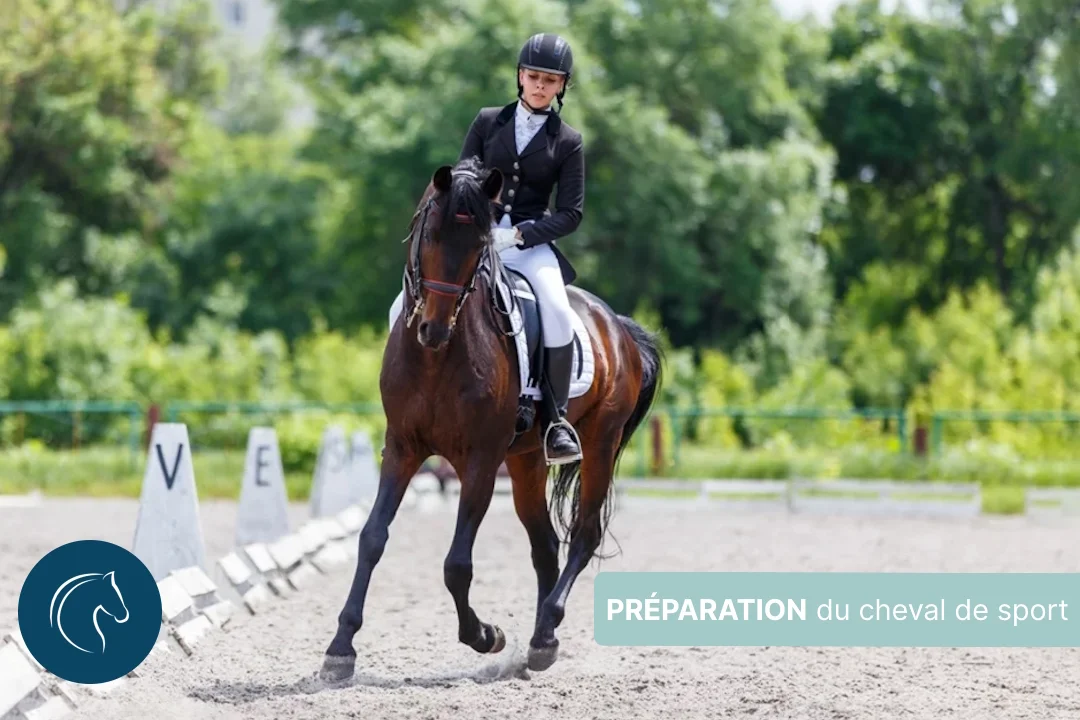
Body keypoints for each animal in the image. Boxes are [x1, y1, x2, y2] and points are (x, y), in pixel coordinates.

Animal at [319, 156, 662, 682]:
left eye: (480, 246)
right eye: (430, 235)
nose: (433, 330)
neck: (438, 359)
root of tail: (617, 325)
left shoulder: (479, 459)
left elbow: (456, 564)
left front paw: (484, 635)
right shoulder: (402, 447)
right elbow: (372, 537)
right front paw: (340, 647)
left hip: (599, 443)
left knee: (583, 535)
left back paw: (543, 633)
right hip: (526, 459)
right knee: (546, 545)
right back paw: (543, 639)